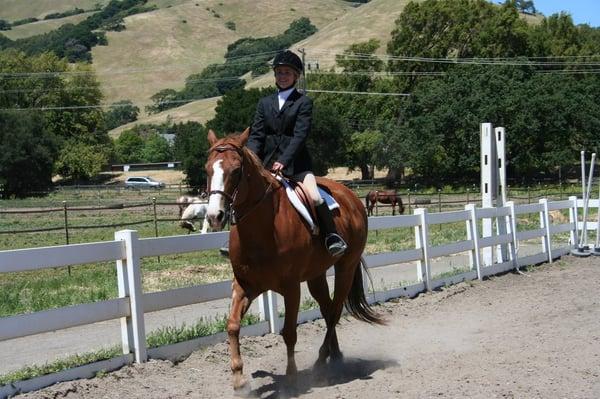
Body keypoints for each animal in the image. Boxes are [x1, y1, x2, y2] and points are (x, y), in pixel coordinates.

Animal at [205, 129, 384, 394]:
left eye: (236, 170)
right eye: (208, 169)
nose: (214, 216)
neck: (262, 229)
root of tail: (351, 197)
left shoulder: (291, 288)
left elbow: (289, 332)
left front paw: (291, 378)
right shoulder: (245, 286)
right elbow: (233, 326)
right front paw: (239, 380)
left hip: (346, 267)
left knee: (335, 311)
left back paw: (321, 363)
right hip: (316, 275)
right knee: (328, 309)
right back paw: (334, 357)